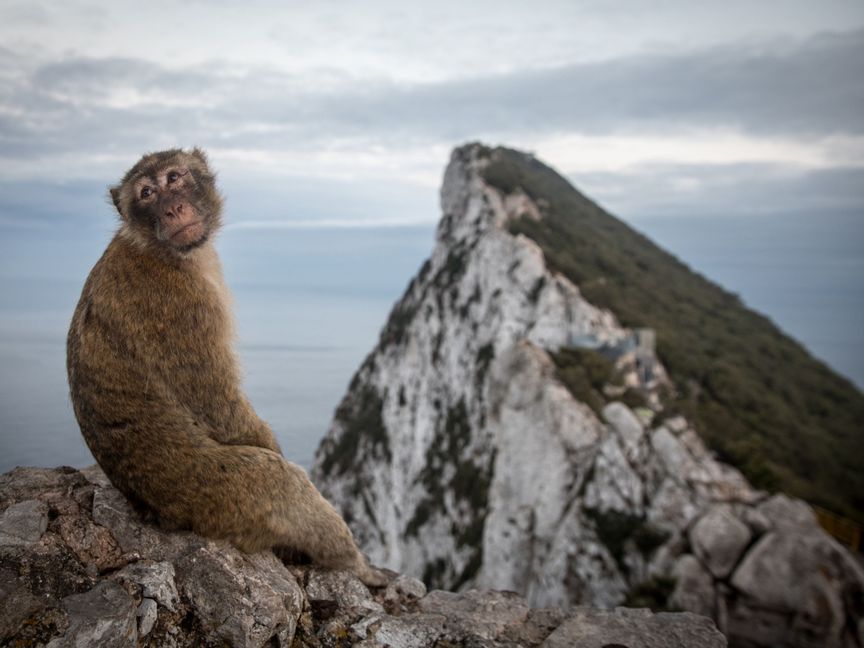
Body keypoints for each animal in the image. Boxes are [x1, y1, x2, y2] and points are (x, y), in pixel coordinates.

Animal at [69, 148, 386, 588]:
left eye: (174, 178)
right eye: (147, 193)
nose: (172, 208)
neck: (159, 249)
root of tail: (157, 512)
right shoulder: (182, 307)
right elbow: (220, 409)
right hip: (218, 498)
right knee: (282, 483)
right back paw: (353, 564)